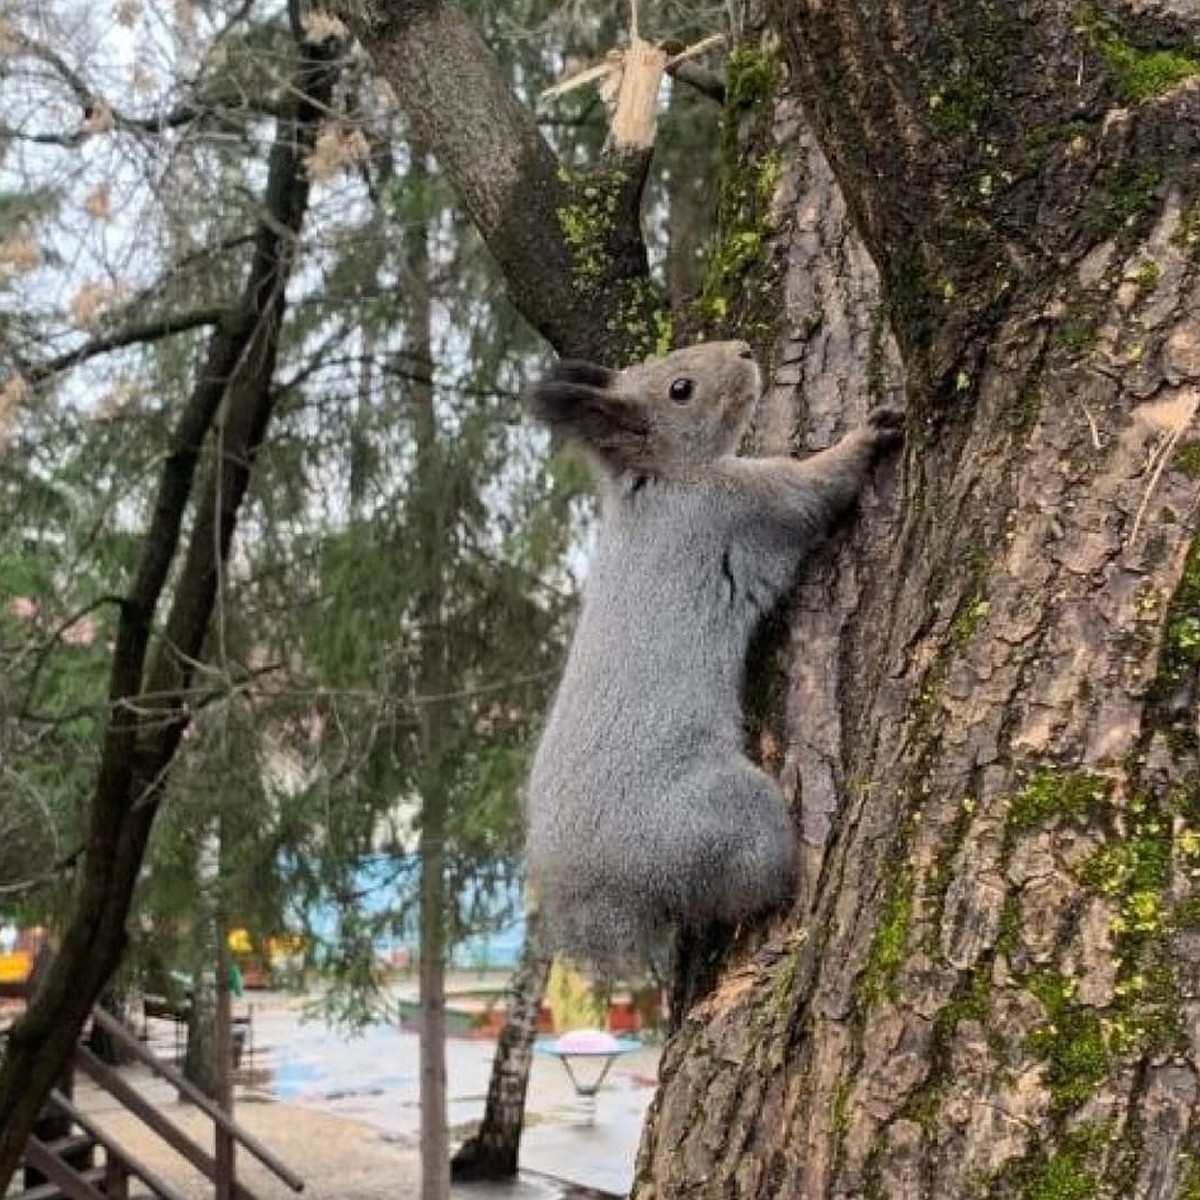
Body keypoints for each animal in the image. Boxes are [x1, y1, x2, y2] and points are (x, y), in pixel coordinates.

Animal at [525, 340, 902, 974]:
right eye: (681, 389)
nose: (745, 349)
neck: (663, 479)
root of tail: (597, 897)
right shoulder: (749, 503)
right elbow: (818, 487)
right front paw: (867, 435)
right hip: (724, 817)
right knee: (756, 883)